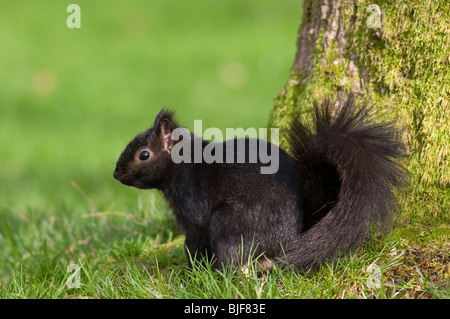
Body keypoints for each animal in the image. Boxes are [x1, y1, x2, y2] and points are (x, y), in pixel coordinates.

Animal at [113, 97, 408, 272]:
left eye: (144, 155)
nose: (116, 174)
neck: (185, 163)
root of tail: (287, 242)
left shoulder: (192, 205)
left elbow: (194, 239)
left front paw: (194, 271)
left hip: (232, 226)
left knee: (239, 262)